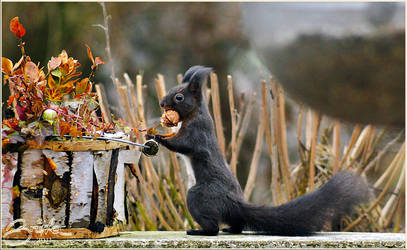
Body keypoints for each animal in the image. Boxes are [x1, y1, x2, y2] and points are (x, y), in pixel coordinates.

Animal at [147, 65, 372, 235]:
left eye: (179, 97)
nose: (162, 103)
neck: (194, 113)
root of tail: (236, 203)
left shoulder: (197, 132)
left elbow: (182, 144)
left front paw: (156, 137)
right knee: (236, 223)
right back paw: (231, 229)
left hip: (199, 196)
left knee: (212, 227)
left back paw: (200, 231)